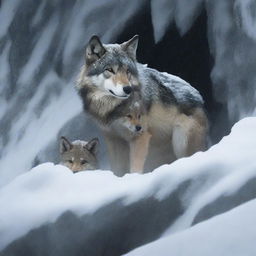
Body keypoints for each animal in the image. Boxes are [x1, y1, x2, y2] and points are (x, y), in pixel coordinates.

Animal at [76, 35, 208, 175]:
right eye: (110, 70)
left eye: (127, 71)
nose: (128, 89)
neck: (113, 110)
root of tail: (199, 97)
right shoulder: (113, 139)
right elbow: (117, 169)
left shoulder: (140, 136)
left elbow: (135, 167)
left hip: (180, 142)